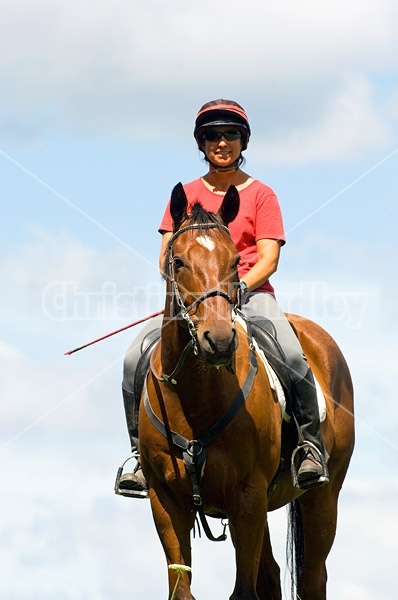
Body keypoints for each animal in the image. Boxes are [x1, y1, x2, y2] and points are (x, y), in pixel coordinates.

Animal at [138, 183, 354, 600]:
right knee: (271, 575)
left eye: (236, 260)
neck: (196, 397)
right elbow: (182, 588)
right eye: (178, 262)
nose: (219, 341)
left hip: (322, 496)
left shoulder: (248, 496)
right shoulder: (165, 499)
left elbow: (243, 591)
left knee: (312, 578)